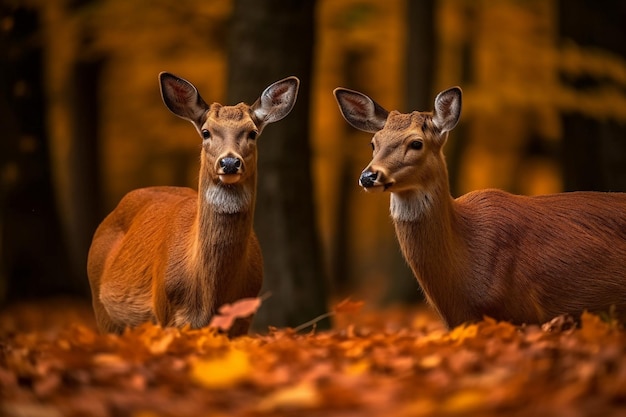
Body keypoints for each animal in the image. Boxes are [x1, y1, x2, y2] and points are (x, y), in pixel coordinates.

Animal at [86, 71, 298, 334]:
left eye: (252, 132)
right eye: (206, 132)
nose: (229, 163)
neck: (210, 299)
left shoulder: (243, 319)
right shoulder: (167, 314)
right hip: (101, 309)